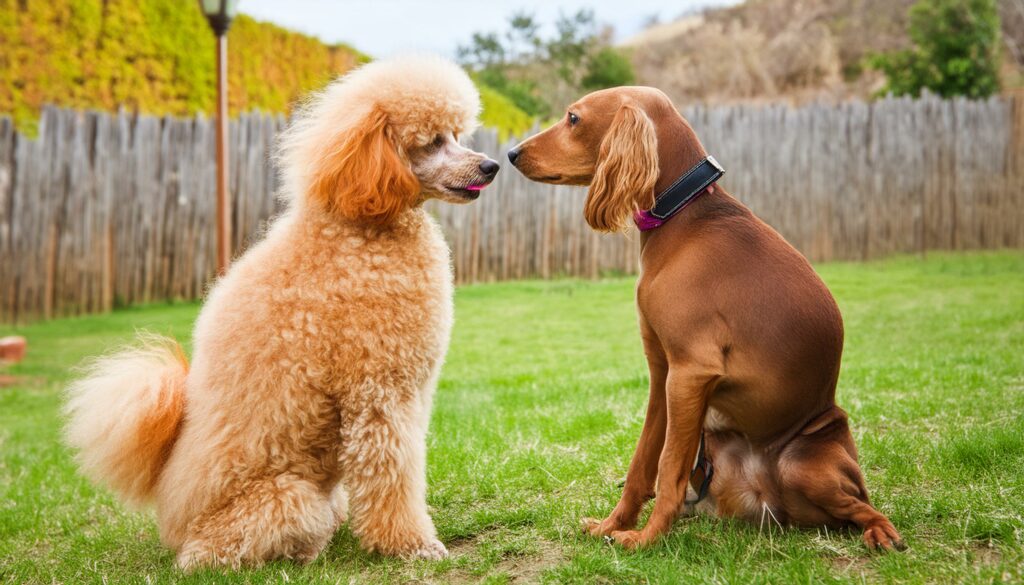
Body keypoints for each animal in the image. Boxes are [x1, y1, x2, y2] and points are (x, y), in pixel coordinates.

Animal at [507, 84, 901, 553]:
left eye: (573, 118)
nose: (511, 153)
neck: (682, 216)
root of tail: (771, 501)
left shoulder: (691, 372)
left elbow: (669, 468)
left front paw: (645, 539)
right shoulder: (664, 373)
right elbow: (643, 462)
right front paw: (611, 526)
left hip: (806, 466)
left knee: (864, 506)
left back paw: (880, 532)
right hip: (714, 444)